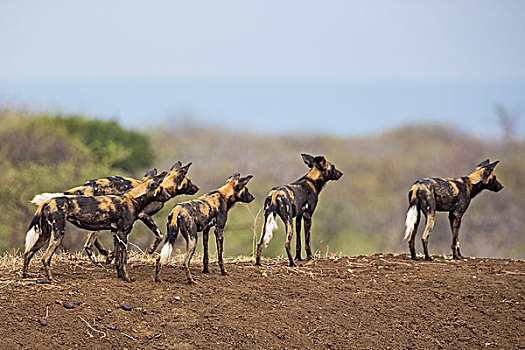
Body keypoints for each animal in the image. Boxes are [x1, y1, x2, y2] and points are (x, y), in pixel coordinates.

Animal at [23, 172, 168, 282]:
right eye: (161, 189)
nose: (167, 196)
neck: (134, 198)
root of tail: (47, 202)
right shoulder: (123, 235)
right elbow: (124, 260)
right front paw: (127, 278)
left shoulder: (116, 233)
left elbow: (117, 260)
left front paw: (120, 276)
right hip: (58, 234)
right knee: (45, 257)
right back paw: (50, 279)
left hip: (45, 235)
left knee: (28, 253)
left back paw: (25, 275)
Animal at [31, 162, 199, 262]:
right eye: (189, 181)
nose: (197, 188)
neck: (162, 187)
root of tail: (86, 185)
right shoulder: (143, 216)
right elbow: (159, 235)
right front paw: (150, 250)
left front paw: (112, 256)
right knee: (88, 244)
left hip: (97, 221)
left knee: (91, 241)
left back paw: (105, 254)